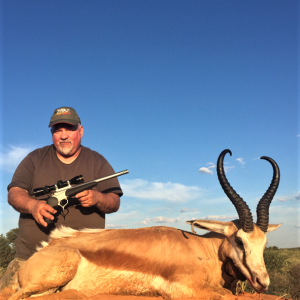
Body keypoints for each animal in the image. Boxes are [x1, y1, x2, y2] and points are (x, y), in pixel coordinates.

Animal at [8, 150, 282, 300]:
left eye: (264, 243)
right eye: (239, 241)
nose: (263, 282)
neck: (202, 250)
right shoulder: (181, 289)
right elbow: (226, 296)